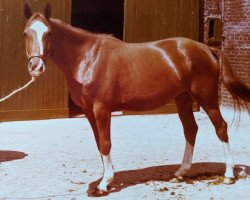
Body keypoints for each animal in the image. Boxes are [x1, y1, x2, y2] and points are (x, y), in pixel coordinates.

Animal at [23, 3, 250, 196]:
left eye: (49, 33)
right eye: (26, 33)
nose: (36, 67)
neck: (87, 58)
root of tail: (207, 49)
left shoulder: (102, 109)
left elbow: (105, 143)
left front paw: (104, 184)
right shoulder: (88, 111)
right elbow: (99, 144)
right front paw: (106, 179)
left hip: (206, 97)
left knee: (220, 127)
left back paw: (228, 175)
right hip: (183, 99)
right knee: (190, 130)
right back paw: (180, 173)